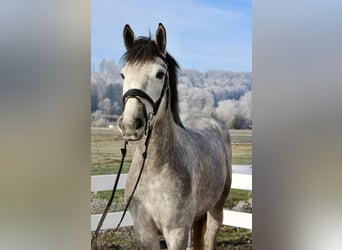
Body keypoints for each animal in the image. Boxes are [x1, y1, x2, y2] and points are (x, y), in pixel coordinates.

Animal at [117, 23, 232, 250]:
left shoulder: (177, 233)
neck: (155, 169)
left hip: (216, 207)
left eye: (160, 74)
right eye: (123, 74)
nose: (130, 125)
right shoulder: (144, 234)